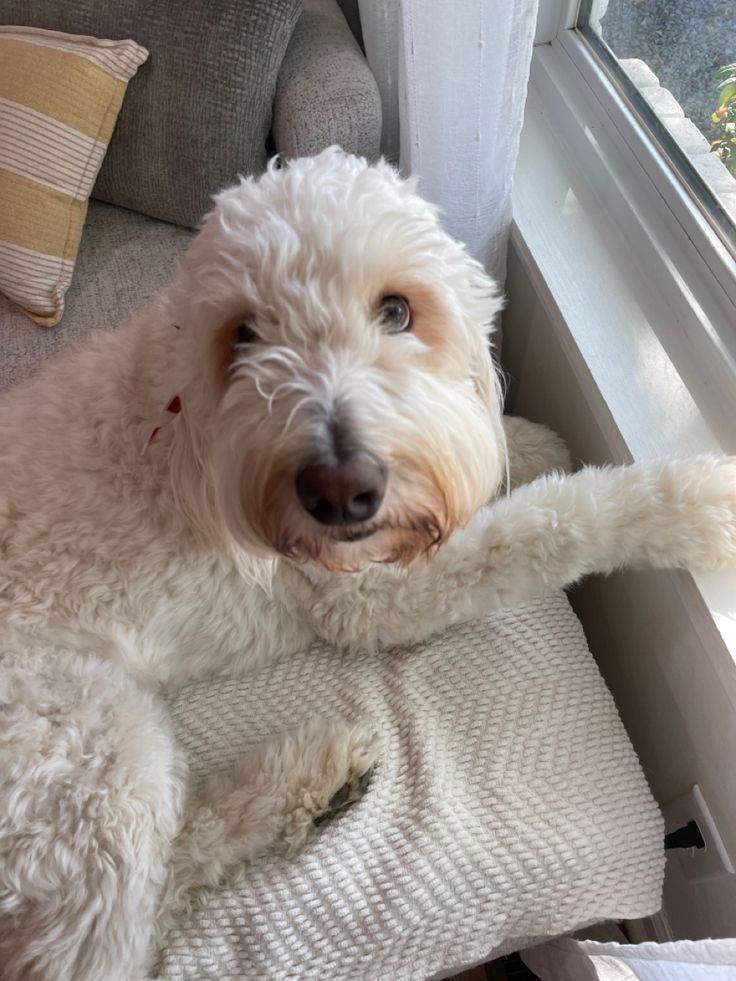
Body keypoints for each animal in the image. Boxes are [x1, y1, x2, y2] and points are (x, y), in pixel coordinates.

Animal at [1, 147, 736, 980]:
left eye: (397, 310)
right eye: (243, 334)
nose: (341, 492)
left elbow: (483, 453)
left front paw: (524, 444)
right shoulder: (372, 594)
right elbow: (554, 521)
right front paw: (697, 503)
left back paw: (313, 783)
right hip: (89, 749)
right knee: (120, 930)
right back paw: (301, 780)